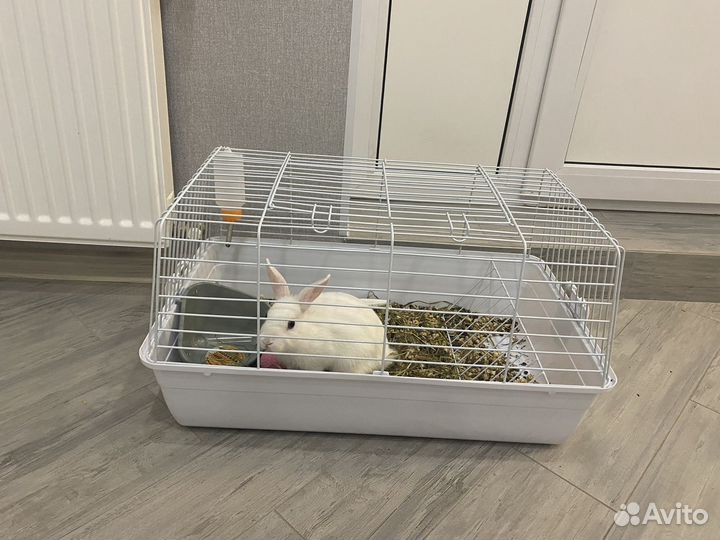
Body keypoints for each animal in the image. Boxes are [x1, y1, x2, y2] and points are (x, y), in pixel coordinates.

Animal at [258, 260, 390, 374]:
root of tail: (384, 353)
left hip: (350, 363)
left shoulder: (316, 361)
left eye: (291, 324)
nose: (266, 342)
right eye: (266, 315)